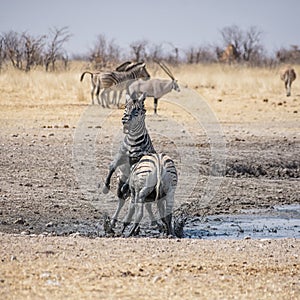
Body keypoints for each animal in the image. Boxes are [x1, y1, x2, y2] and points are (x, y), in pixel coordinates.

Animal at [102, 92, 156, 227]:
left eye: (137, 110)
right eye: (126, 107)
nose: (124, 120)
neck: (132, 141)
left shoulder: (136, 161)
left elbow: (132, 172)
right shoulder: (121, 157)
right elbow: (112, 166)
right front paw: (105, 187)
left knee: (145, 203)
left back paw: (153, 221)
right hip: (121, 179)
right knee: (121, 200)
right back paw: (113, 221)